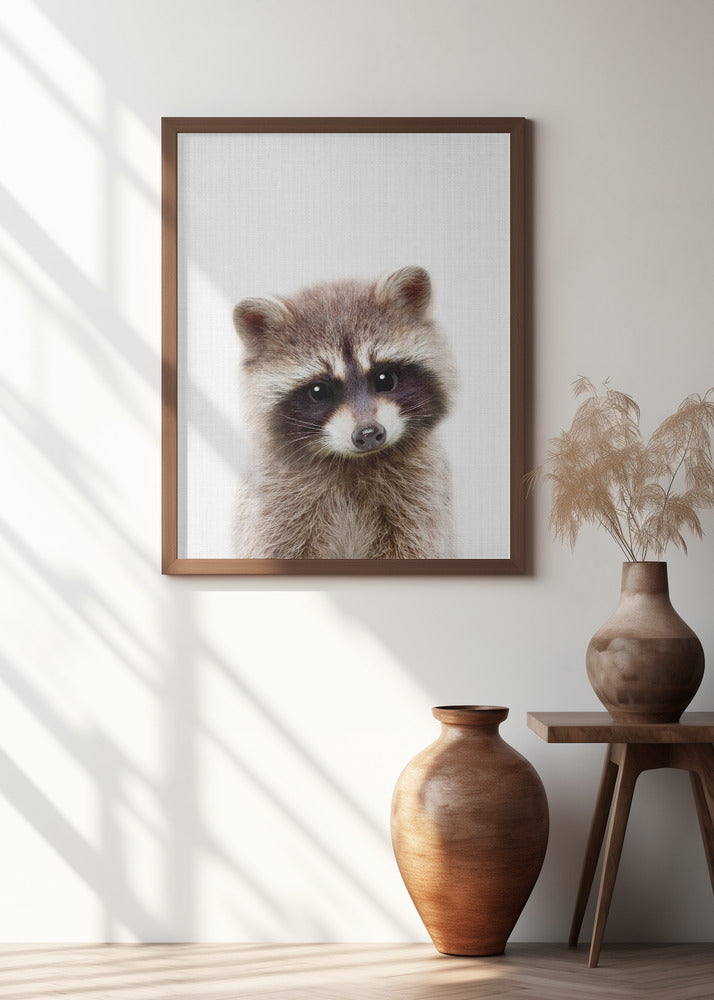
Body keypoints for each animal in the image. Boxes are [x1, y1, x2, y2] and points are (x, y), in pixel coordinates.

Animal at [232, 265, 456, 559]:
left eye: (385, 380)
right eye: (319, 391)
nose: (369, 433)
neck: (353, 462)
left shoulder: (421, 495)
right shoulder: (276, 502)